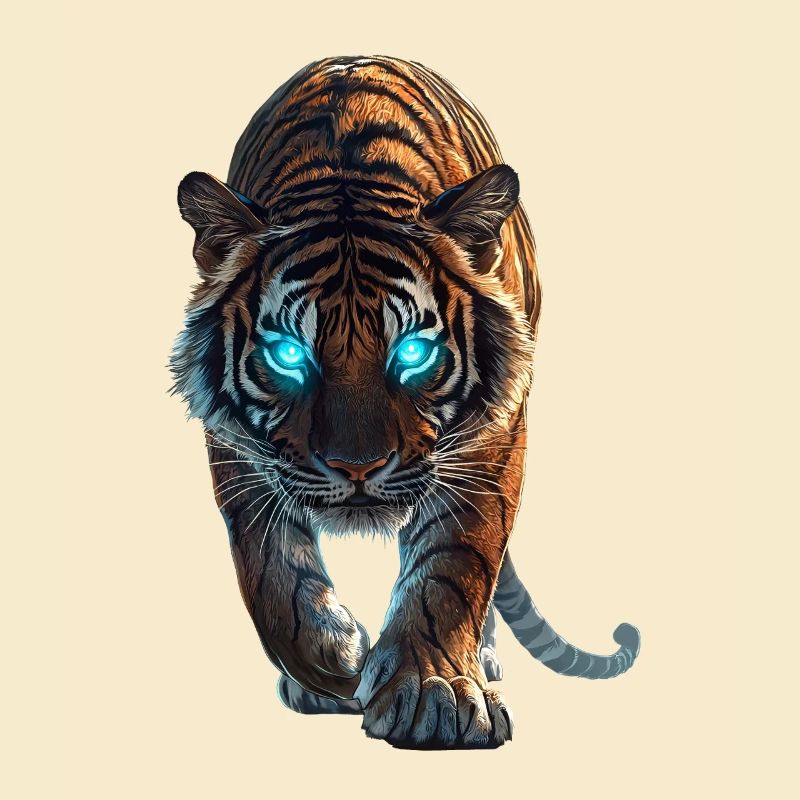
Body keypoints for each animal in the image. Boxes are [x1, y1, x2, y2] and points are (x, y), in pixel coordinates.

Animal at [171, 55, 640, 750]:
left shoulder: (491, 441)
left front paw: (432, 692)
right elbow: (268, 570)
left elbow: (454, 562)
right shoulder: (234, 447)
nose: (357, 468)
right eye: (288, 354)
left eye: (413, 352)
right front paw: (328, 663)